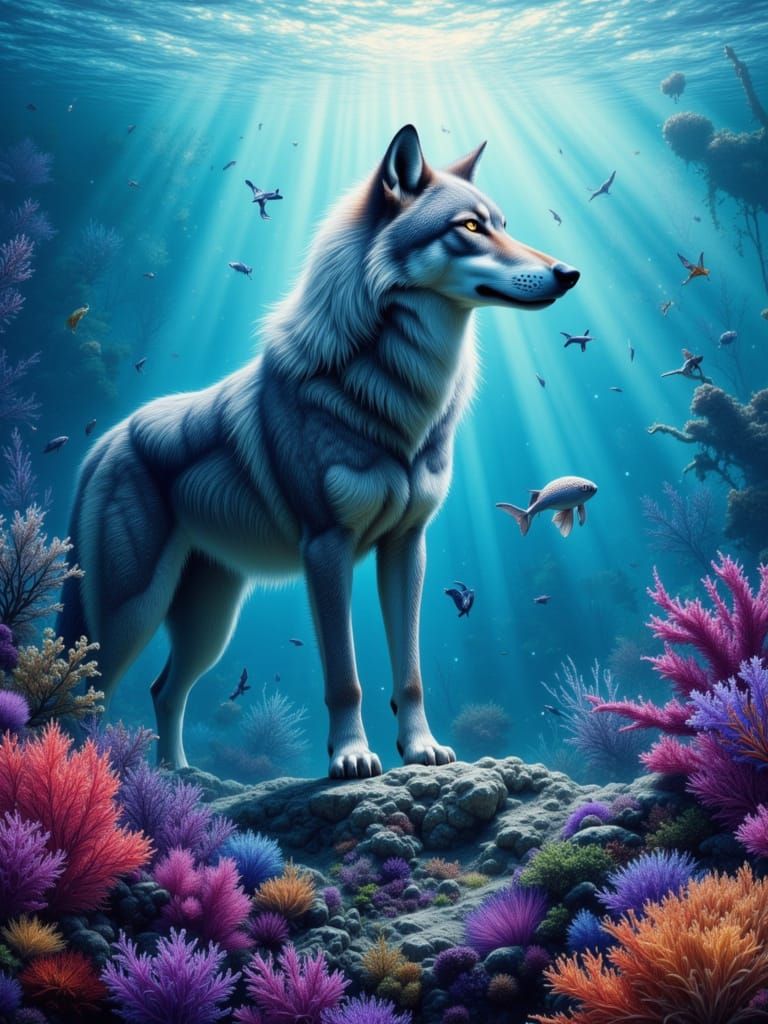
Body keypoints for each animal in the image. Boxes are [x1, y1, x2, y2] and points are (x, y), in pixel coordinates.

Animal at [57, 125, 579, 778]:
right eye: (470, 227)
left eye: (504, 224)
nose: (570, 271)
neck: (393, 392)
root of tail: (102, 443)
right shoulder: (326, 549)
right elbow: (344, 676)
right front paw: (351, 756)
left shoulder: (407, 546)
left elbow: (409, 674)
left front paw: (421, 749)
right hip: (130, 614)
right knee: (87, 694)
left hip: (209, 623)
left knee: (163, 689)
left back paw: (181, 776)